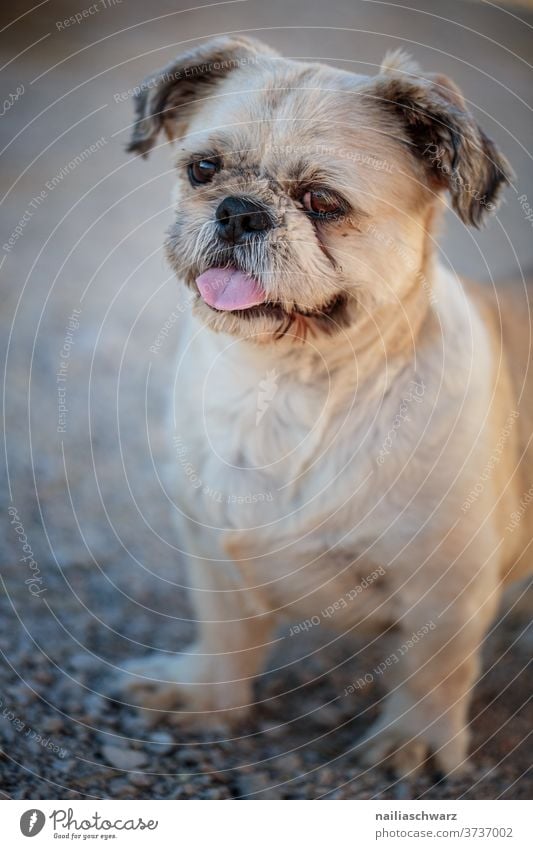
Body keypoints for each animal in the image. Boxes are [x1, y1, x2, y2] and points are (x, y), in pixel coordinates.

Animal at [118, 36, 528, 780]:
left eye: (321, 200)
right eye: (202, 169)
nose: (239, 210)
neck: (287, 384)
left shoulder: (446, 586)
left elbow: (433, 669)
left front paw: (413, 743)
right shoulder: (210, 547)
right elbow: (227, 630)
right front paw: (207, 697)